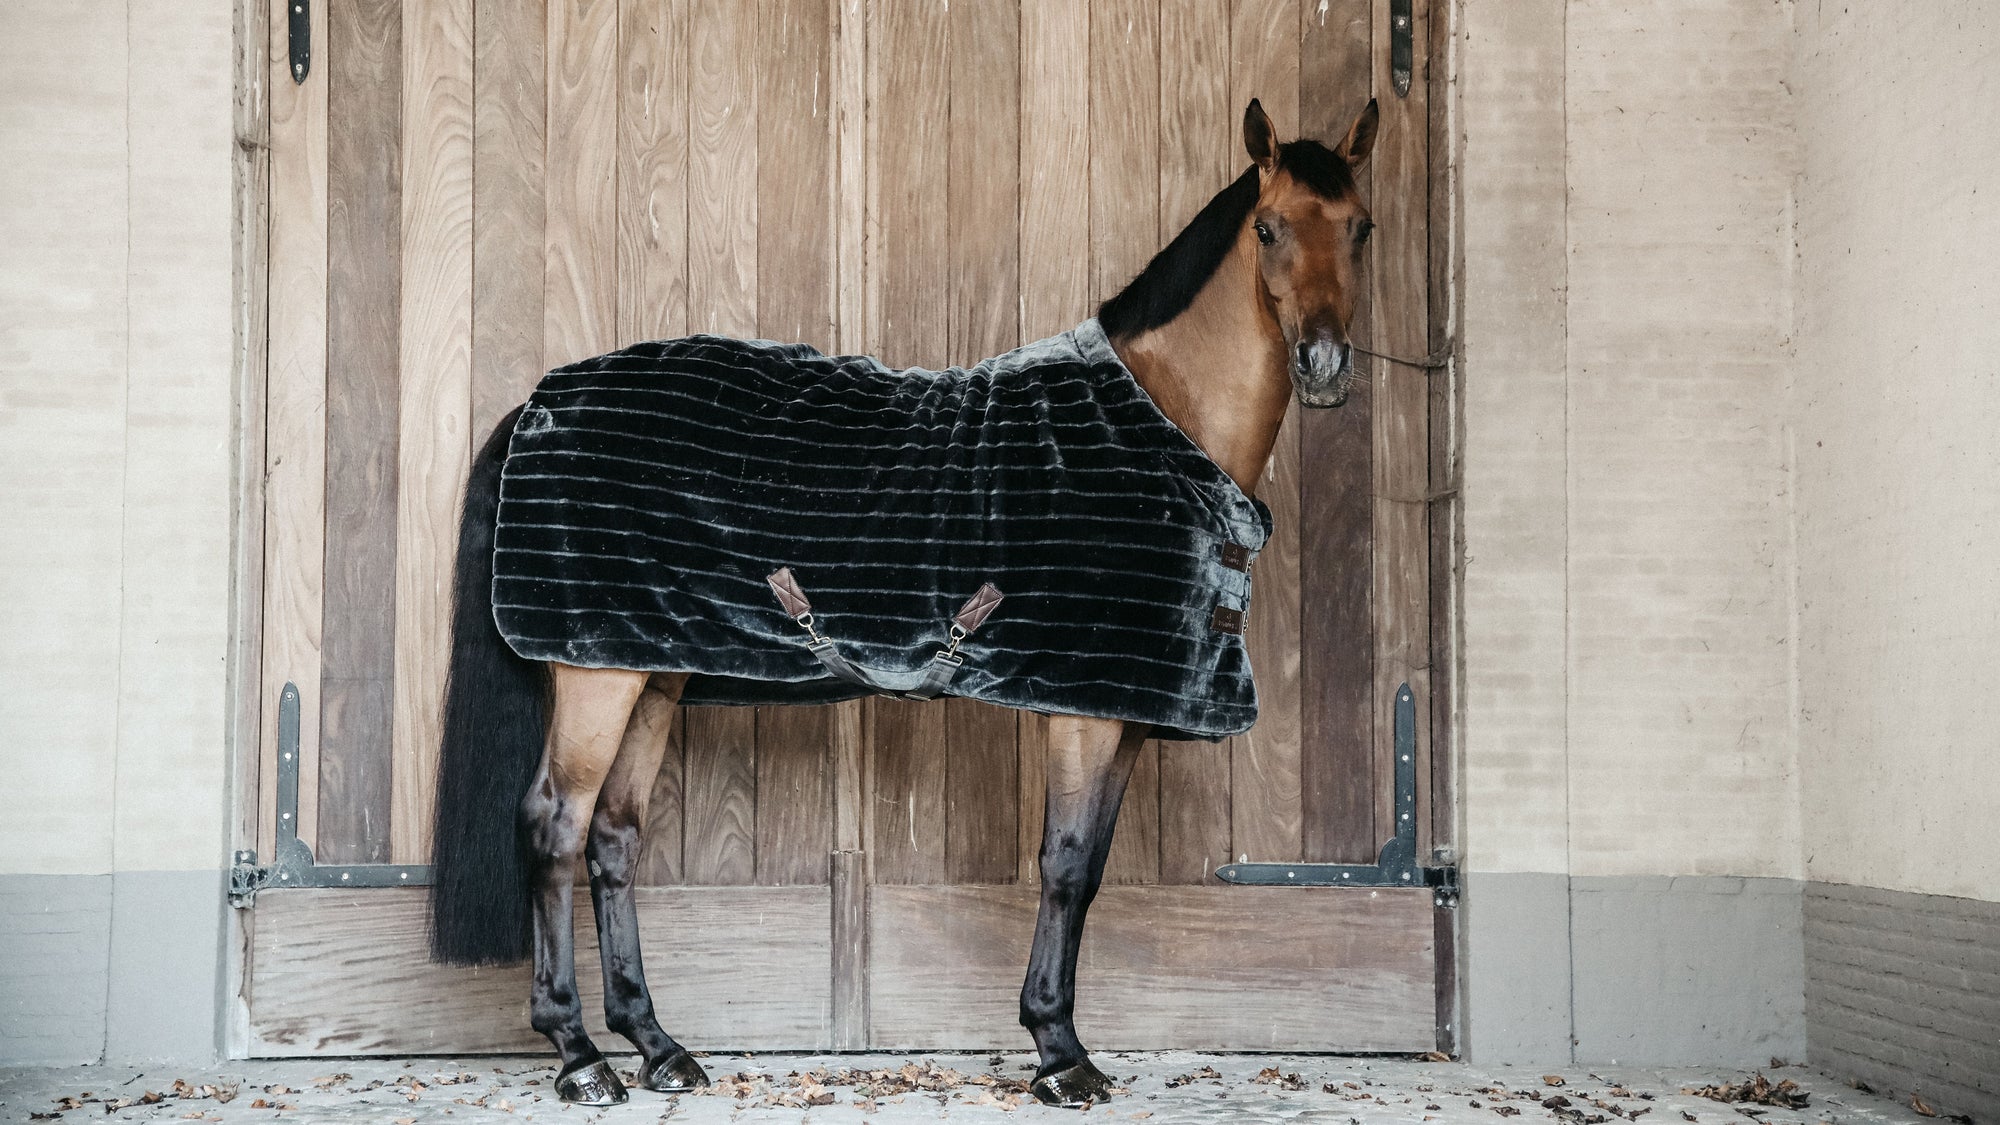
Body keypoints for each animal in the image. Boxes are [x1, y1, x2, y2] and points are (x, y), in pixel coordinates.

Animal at [427, 96, 1380, 1109]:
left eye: (1360, 227)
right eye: (1269, 227)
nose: (1323, 363)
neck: (1163, 418)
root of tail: (542, 398)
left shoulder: (1123, 707)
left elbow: (1090, 869)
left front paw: (1061, 1037)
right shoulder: (1083, 713)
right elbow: (1064, 863)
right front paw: (1058, 1052)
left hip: (653, 670)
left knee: (613, 838)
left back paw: (657, 1044)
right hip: (595, 673)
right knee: (554, 829)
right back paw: (579, 1054)